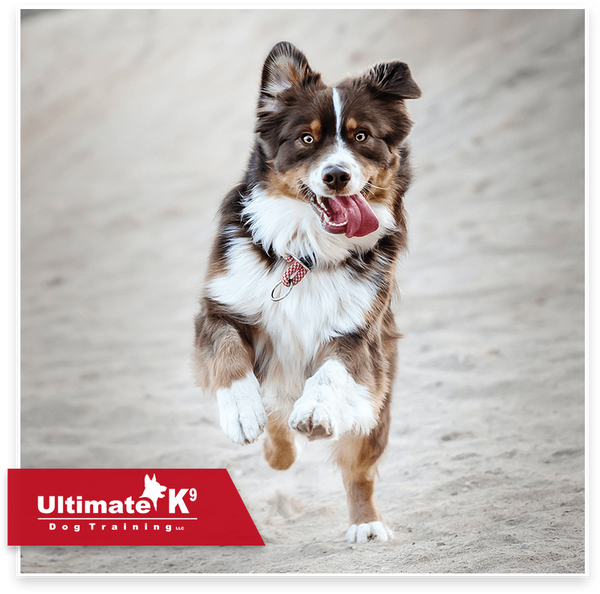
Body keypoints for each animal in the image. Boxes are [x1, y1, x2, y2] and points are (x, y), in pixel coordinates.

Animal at [195, 41, 420, 540]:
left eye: (361, 137)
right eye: (306, 139)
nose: (336, 176)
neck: (307, 254)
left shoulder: (358, 334)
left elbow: (330, 373)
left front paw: (315, 411)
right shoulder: (220, 308)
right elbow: (228, 355)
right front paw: (242, 412)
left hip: (378, 401)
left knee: (358, 469)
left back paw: (366, 524)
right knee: (278, 422)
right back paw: (275, 442)